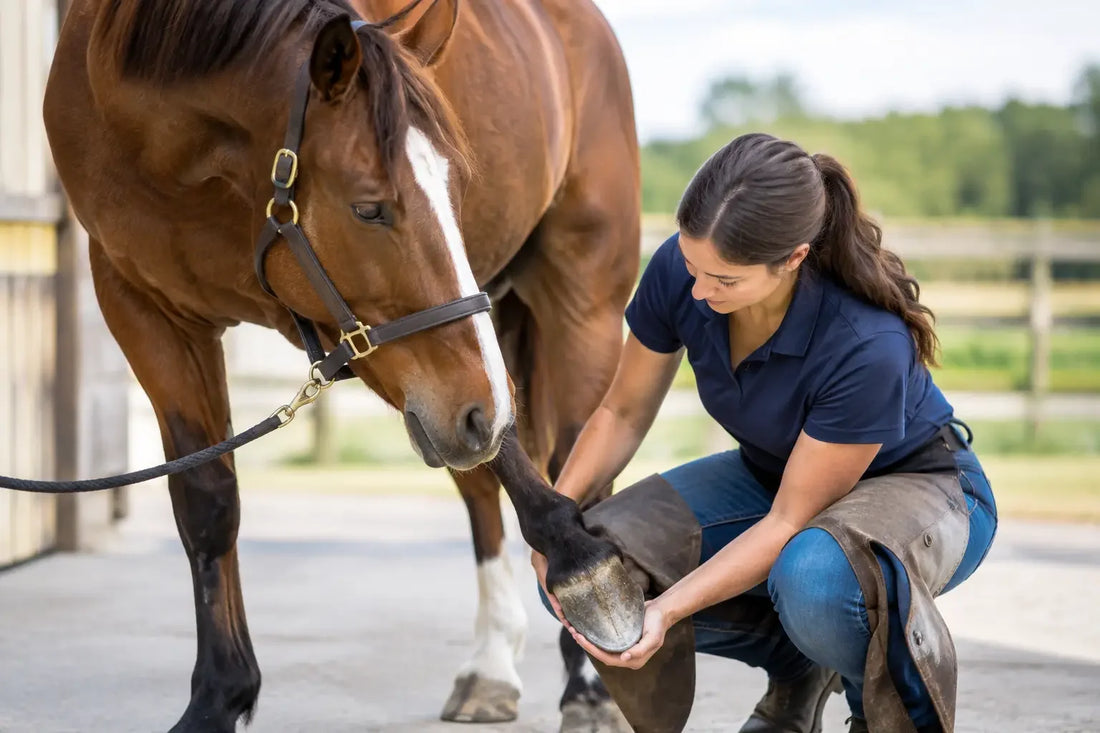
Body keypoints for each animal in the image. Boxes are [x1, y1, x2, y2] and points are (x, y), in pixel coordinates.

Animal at [43, 0, 641, 730]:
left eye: (456, 188)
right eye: (368, 207)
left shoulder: (373, 337)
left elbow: (523, 465)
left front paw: (582, 567)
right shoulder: (147, 309)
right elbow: (207, 503)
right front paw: (218, 698)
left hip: (579, 304)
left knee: (575, 460)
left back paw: (589, 683)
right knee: (482, 477)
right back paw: (491, 664)